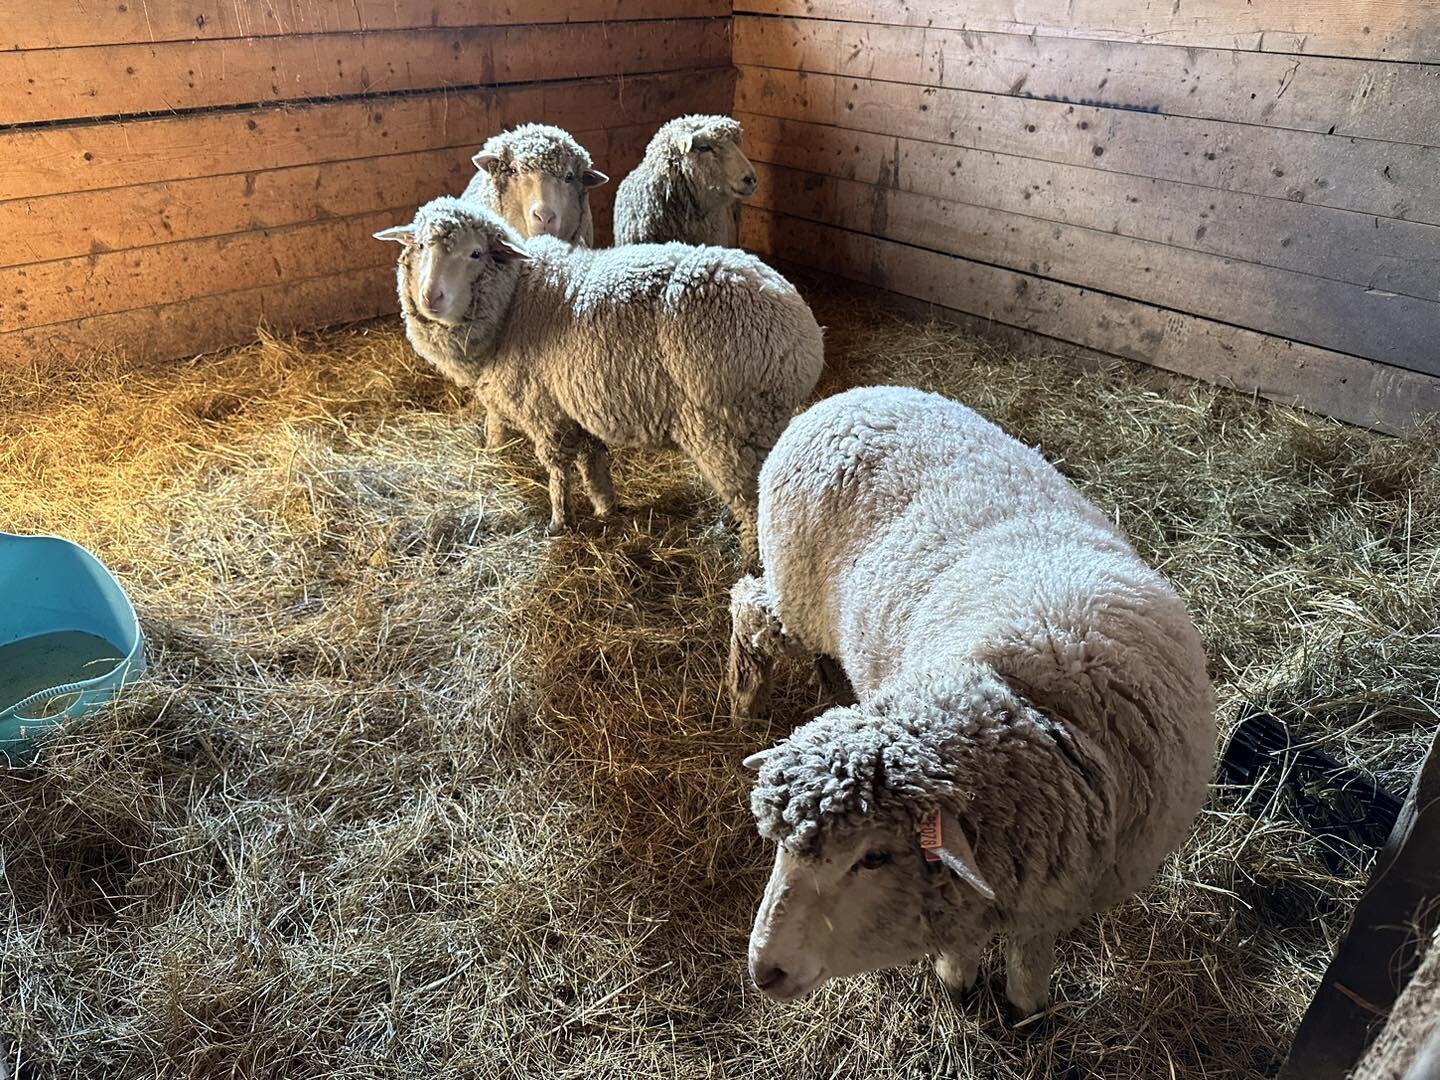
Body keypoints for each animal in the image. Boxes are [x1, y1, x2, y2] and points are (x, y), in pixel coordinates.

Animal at [371, 198, 823, 567]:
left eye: (475, 253)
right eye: (421, 247)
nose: (431, 298)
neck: (515, 299)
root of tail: (802, 336)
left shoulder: (544, 410)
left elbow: (558, 470)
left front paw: (560, 522)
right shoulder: (577, 403)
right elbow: (593, 461)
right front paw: (606, 508)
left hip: (728, 426)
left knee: (752, 500)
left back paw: (749, 562)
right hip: (756, 425)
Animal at [731, 385, 1215, 1019]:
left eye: (874, 857)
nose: (763, 971)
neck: (1039, 709)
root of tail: (844, 398)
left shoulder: (1052, 888)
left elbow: (1030, 954)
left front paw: (1027, 1008)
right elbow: (962, 947)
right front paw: (958, 982)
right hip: (796, 596)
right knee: (748, 606)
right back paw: (744, 692)